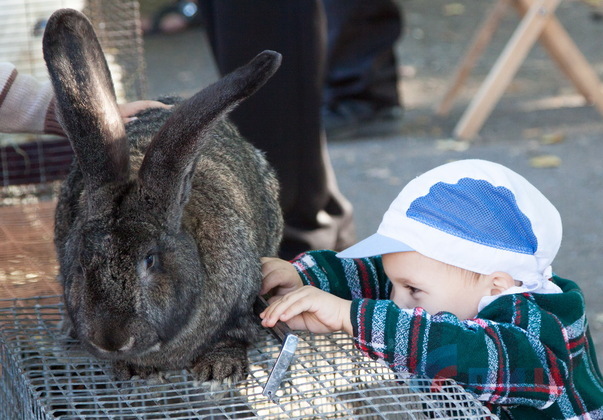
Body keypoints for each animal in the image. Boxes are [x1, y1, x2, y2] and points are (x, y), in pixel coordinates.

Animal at [43, 9, 284, 384]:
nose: (111, 339)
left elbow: (234, 337)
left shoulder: (244, 306)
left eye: (150, 260)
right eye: (81, 263)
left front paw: (219, 369)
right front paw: (130, 369)